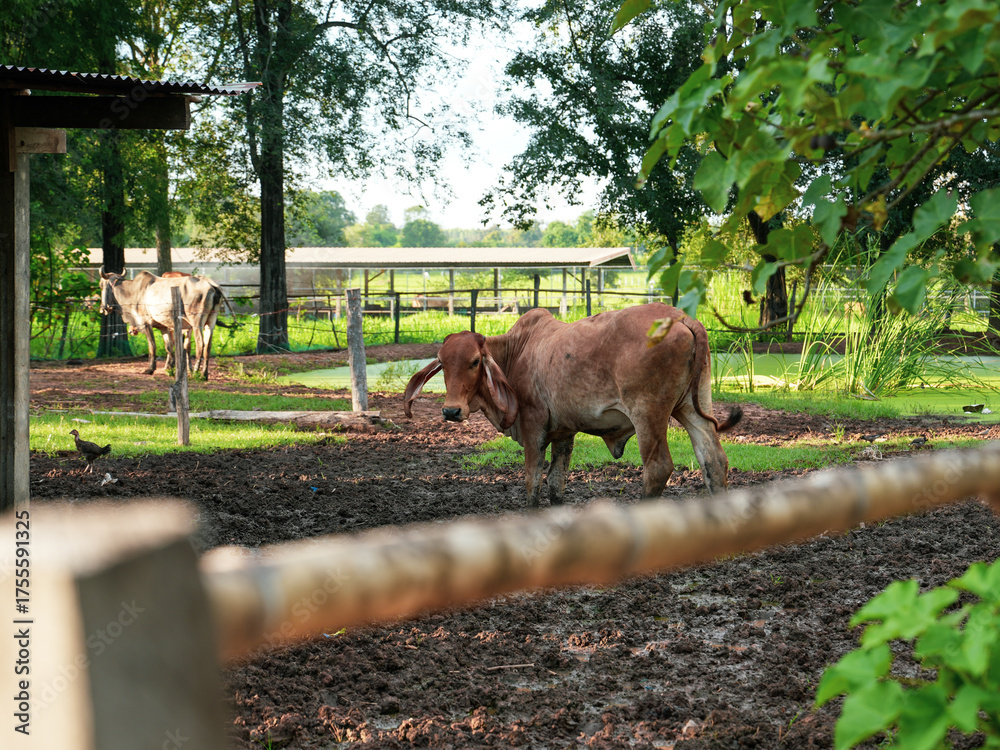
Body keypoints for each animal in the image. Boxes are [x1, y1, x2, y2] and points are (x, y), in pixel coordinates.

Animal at [98, 267, 229, 380]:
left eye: (101, 285)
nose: (103, 308)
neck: (133, 291)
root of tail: (210, 283)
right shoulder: (164, 327)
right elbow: (169, 347)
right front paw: (170, 369)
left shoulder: (146, 323)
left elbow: (152, 346)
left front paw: (150, 369)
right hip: (210, 322)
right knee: (207, 346)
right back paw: (204, 375)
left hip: (197, 323)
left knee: (200, 345)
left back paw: (196, 372)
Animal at [403, 303, 742, 507]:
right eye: (443, 363)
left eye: (475, 361)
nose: (451, 411)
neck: (516, 351)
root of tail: (682, 318)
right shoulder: (564, 433)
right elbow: (556, 483)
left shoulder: (533, 427)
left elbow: (532, 482)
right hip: (691, 406)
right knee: (714, 459)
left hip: (649, 413)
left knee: (658, 467)